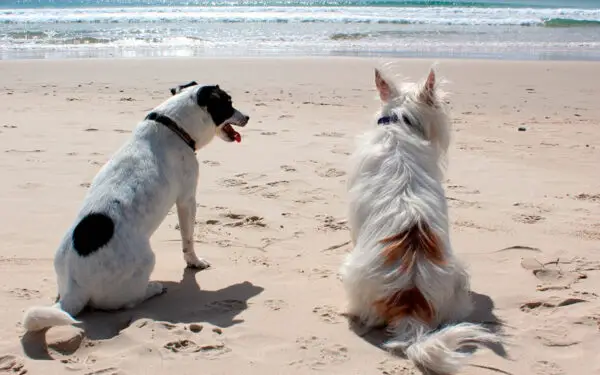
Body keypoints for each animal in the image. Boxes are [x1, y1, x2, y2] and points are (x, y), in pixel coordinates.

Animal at [22, 81, 248, 332]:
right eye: (228, 103)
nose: (247, 117)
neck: (173, 125)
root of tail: (74, 289)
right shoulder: (187, 200)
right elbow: (188, 240)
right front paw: (195, 262)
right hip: (146, 260)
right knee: (129, 301)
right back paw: (153, 288)